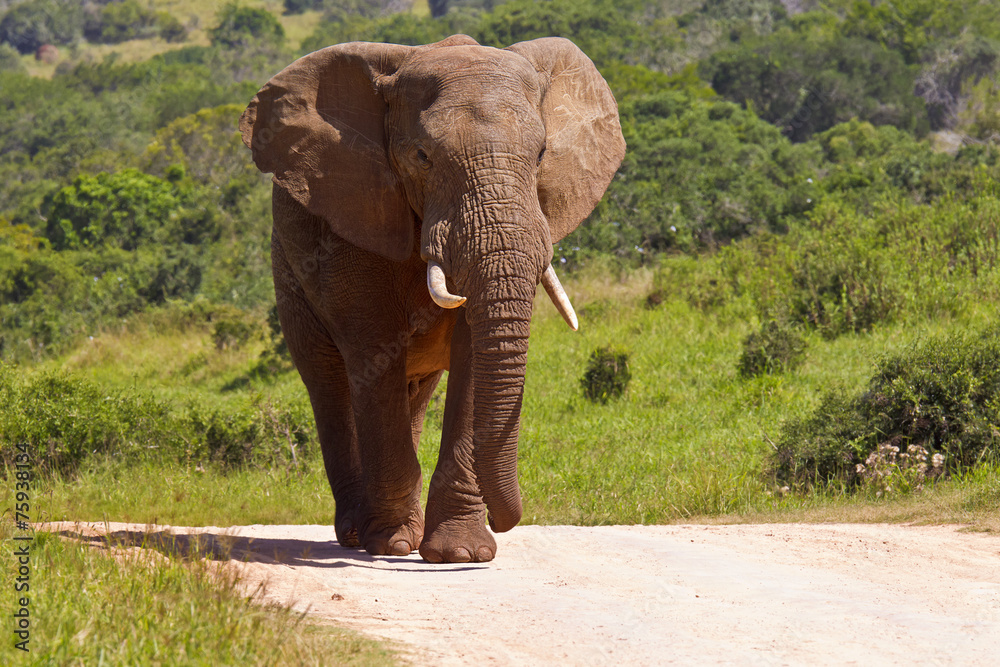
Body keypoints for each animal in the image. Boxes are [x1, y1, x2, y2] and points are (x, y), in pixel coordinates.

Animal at [240, 34, 625, 563]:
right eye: (422, 157)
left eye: (542, 153)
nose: (507, 521)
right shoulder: (354, 213)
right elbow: (374, 351)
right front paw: (393, 545)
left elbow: (470, 357)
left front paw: (460, 554)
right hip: (288, 271)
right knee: (330, 383)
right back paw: (358, 534)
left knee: (415, 390)